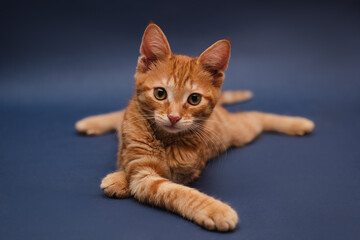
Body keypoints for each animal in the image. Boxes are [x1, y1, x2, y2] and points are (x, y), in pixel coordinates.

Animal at [74, 23, 314, 232]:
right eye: (160, 93)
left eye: (194, 99)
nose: (174, 117)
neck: (166, 140)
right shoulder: (143, 171)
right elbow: (175, 192)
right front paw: (216, 209)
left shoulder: (184, 171)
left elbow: (177, 188)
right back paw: (89, 123)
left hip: (239, 131)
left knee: (255, 116)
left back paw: (299, 123)